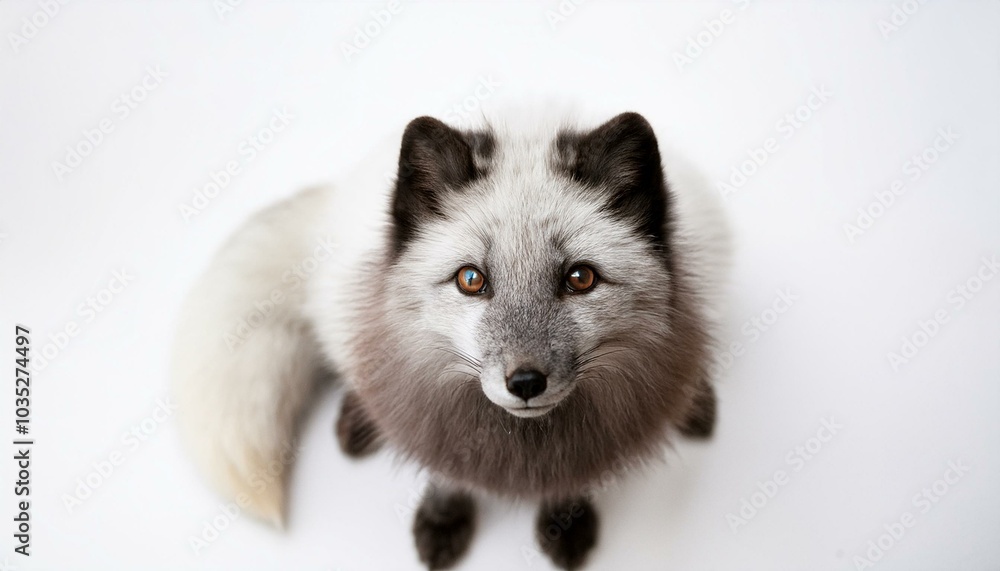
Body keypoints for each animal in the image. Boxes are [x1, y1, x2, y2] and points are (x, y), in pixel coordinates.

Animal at [172, 109, 730, 570]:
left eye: (580, 278)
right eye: (471, 280)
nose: (525, 383)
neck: (521, 443)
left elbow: (575, 472)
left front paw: (564, 519)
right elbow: (444, 472)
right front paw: (444, 520)